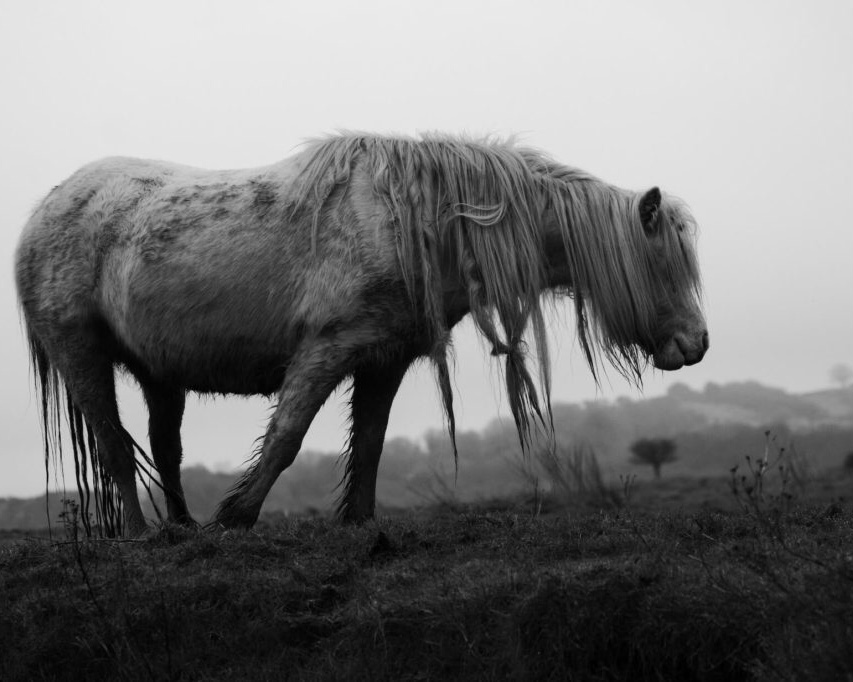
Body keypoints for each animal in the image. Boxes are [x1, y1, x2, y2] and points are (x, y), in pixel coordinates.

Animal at [15, 132, 708, 536]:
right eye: (662, 264)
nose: (697, 344)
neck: (421, 221)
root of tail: (45, 210)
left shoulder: (385, 358)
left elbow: (370, 442)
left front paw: (360, 524)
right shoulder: (327, 347)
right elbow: (288, 436)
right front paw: (237, 518)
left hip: (161, 373)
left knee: (164, 448)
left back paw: (182, 528)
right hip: (81, 353)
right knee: (114, 445)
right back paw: (141, 535)